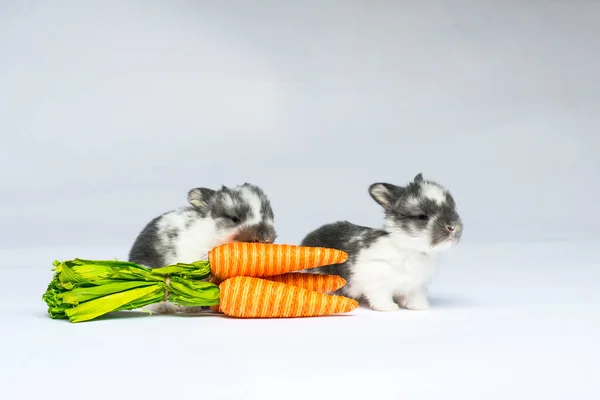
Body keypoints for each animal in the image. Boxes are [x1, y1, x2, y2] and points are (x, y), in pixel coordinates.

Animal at [300, 173, 464, 310]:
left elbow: (413, 297)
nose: (452, 227)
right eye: (422, 217)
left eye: (453, 208)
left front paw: (420, 306)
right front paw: (389, 308)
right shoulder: (377, 281)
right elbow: (381, 296)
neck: (410, 248)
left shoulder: (415, 286)